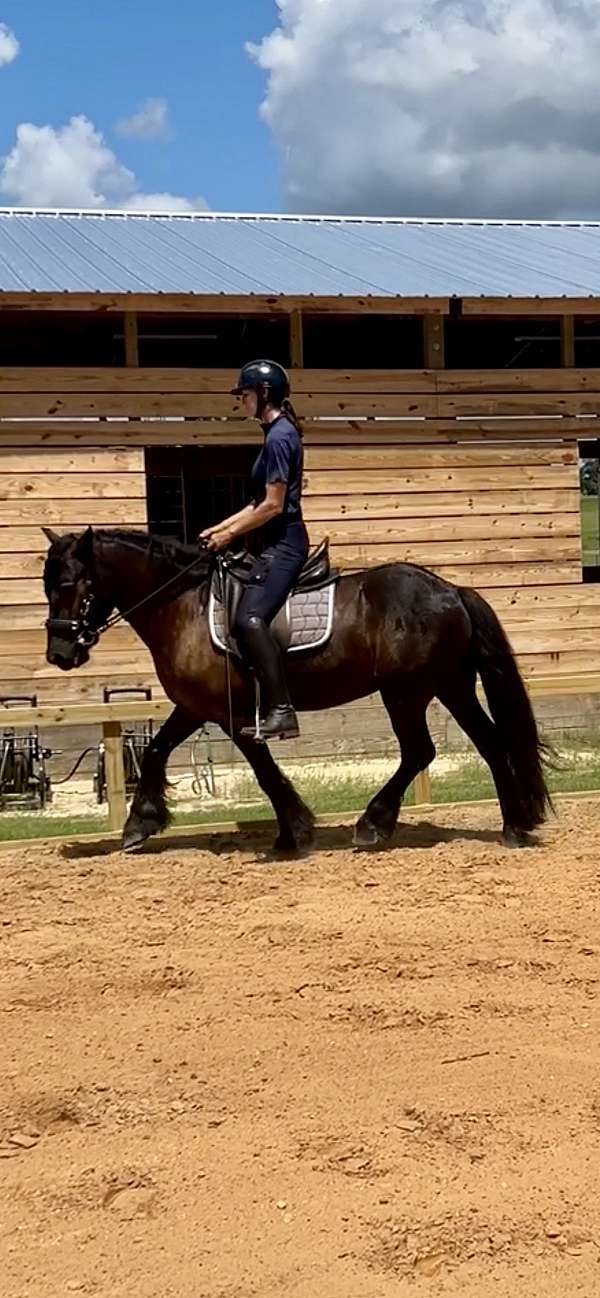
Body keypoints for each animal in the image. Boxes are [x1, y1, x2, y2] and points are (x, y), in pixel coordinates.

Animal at [42, 525, 552, 855]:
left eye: (67, 584)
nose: (60, 654)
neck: (182, 604)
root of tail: (450, 590)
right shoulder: (195, 706)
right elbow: (154, 751)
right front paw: (140, 824)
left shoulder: (232, 715)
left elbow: (266, 773)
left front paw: (295, 834)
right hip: (447, 687)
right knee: (487, 744)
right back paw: (514, 827)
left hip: (407, 692)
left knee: (420, 751)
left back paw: (374, 825)